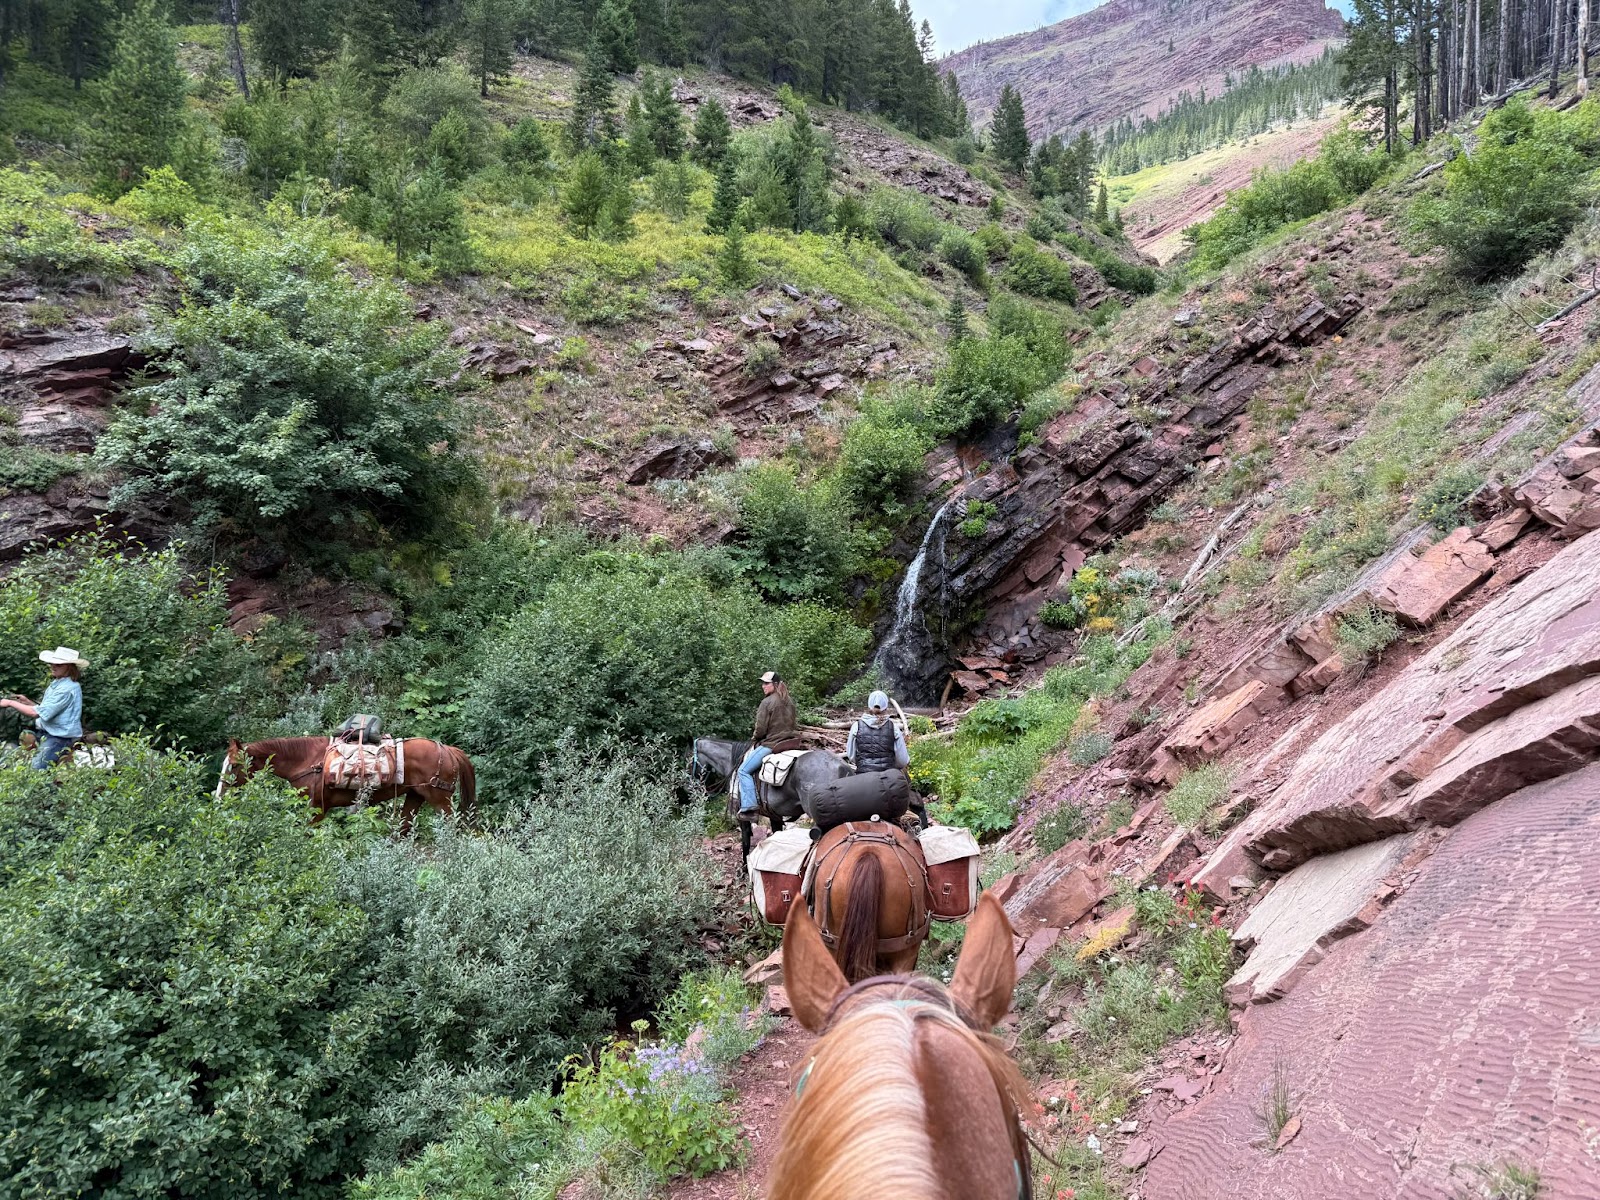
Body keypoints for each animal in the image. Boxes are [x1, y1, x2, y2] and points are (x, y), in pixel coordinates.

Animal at [220, 736, 476, 826]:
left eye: (233, 765)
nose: (218, 796)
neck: (306, 761)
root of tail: (448, 749)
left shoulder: (316, 809)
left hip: (441, 800)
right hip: (415, 796)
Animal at [689, 737, 853, 869]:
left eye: (689, 761)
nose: (690, 787)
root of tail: (842, 767)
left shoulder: (741, 816)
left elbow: (745, 840)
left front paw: (744, 868)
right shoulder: (775, 815)